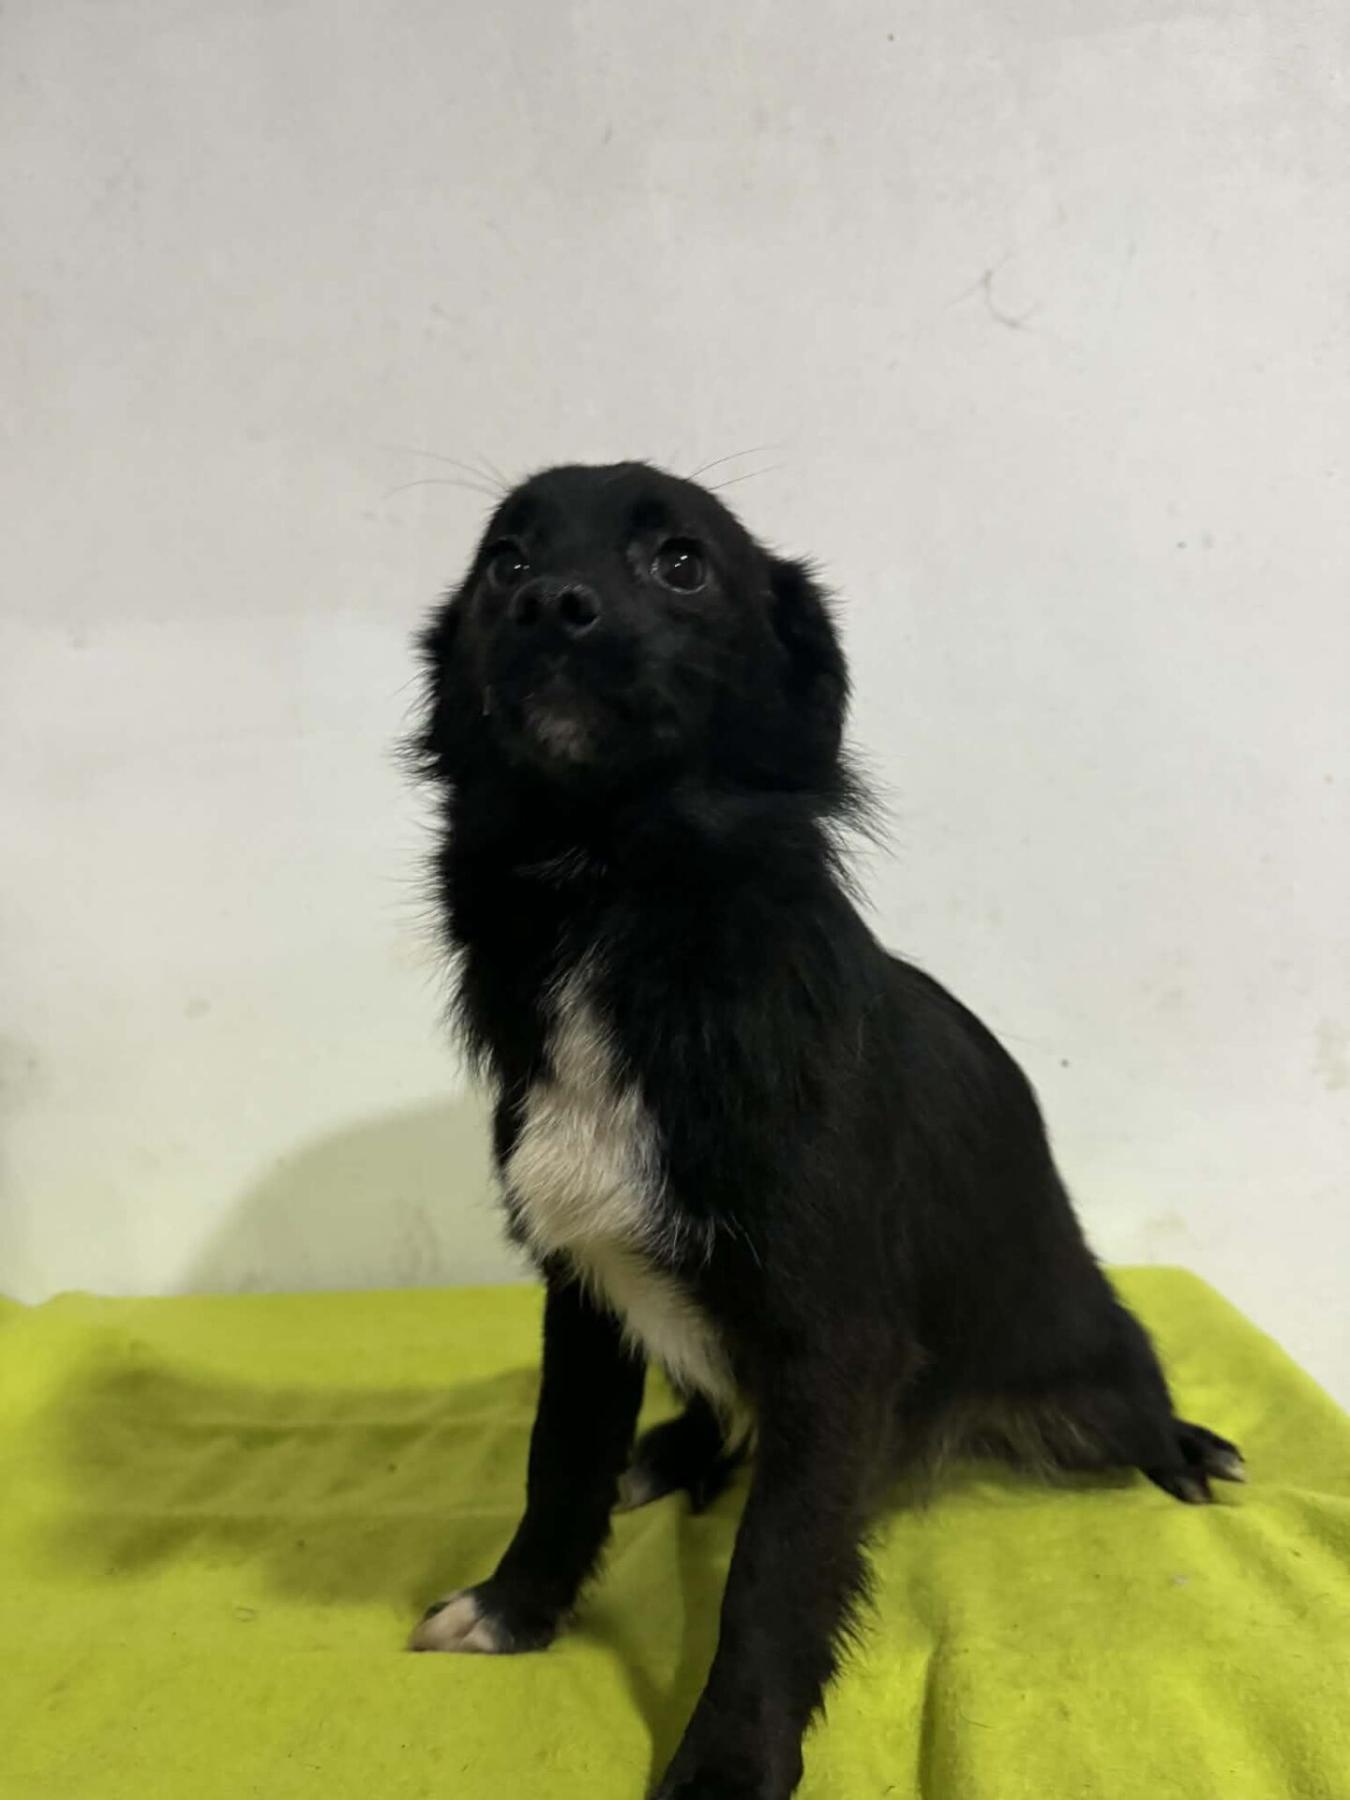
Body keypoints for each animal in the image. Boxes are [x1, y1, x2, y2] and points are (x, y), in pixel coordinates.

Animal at [406, 461, 1242, 1798]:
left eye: (681, 564)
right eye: (504, 561)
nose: (546, 606)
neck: (616, 902)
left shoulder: (834, 1347)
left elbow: (776, 1568)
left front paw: (726, 1763)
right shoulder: (582, 1292)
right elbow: (559, 1461)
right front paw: (517, 1610)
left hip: (1080, 1365)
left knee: (1133, 1402)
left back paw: (1185, 1448)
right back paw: (676, 1455)